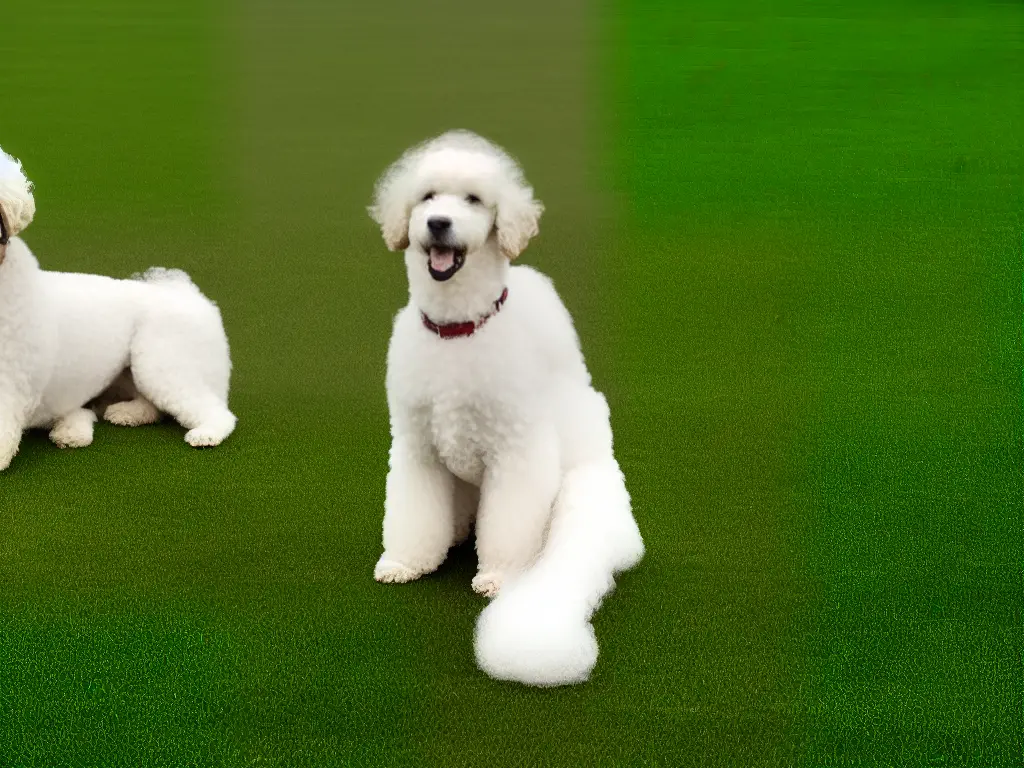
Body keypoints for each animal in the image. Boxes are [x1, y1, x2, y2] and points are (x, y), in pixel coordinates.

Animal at [0, 143, 234, 468]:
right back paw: (125, 413)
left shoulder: (11, 377)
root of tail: (190, 295)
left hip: (160, 361)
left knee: (215, 411)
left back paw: (206, 433)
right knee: (153, 407)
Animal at [368, 131, 643, 684]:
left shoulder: (517, 452)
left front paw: (500, 577)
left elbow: (510, 525)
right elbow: (413, 512)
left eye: (474, 200)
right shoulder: (416, 447)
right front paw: (406, 562)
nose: (438, 223)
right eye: (427, 196)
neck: (456, 331)